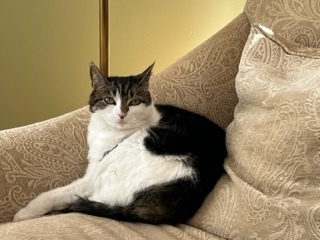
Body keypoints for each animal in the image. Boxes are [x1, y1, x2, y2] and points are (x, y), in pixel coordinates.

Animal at [13, 62, 226, 225]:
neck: (110, 132)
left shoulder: (91, 176)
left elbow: (52, 194)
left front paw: (23, 214)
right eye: (109, 100)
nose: (121, 113)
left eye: (134, 102)